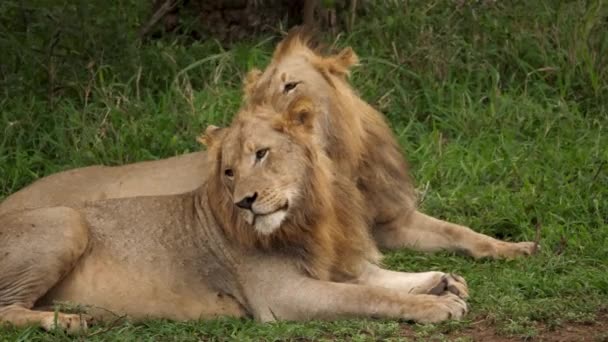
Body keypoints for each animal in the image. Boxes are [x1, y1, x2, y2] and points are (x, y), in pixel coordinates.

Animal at [0, 97, 470, 332]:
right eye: (228, 171)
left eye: (261, 154)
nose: (246, 200)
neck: (304, 219)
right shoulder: (281, 297)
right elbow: (365, 296)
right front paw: (436, 306)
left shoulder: (328, 265)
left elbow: (377, 278)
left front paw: (443, 281)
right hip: (68, 219)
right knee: (6, 310)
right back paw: (67, 321)